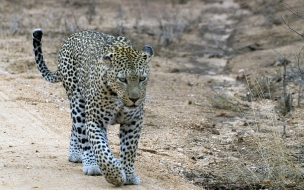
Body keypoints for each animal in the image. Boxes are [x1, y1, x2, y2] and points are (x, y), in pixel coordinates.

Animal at [32, 29, 153, 186]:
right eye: (122, 80)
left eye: (142, 79)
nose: (134, 99)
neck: (118, 98)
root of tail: (71, 37)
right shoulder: (95, 120)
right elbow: (99, 147)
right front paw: (114, 175)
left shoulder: (133, 121)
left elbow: (129, 150)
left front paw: (128, 174)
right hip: (78, 103)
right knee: (83, 135)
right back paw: (89, 163)